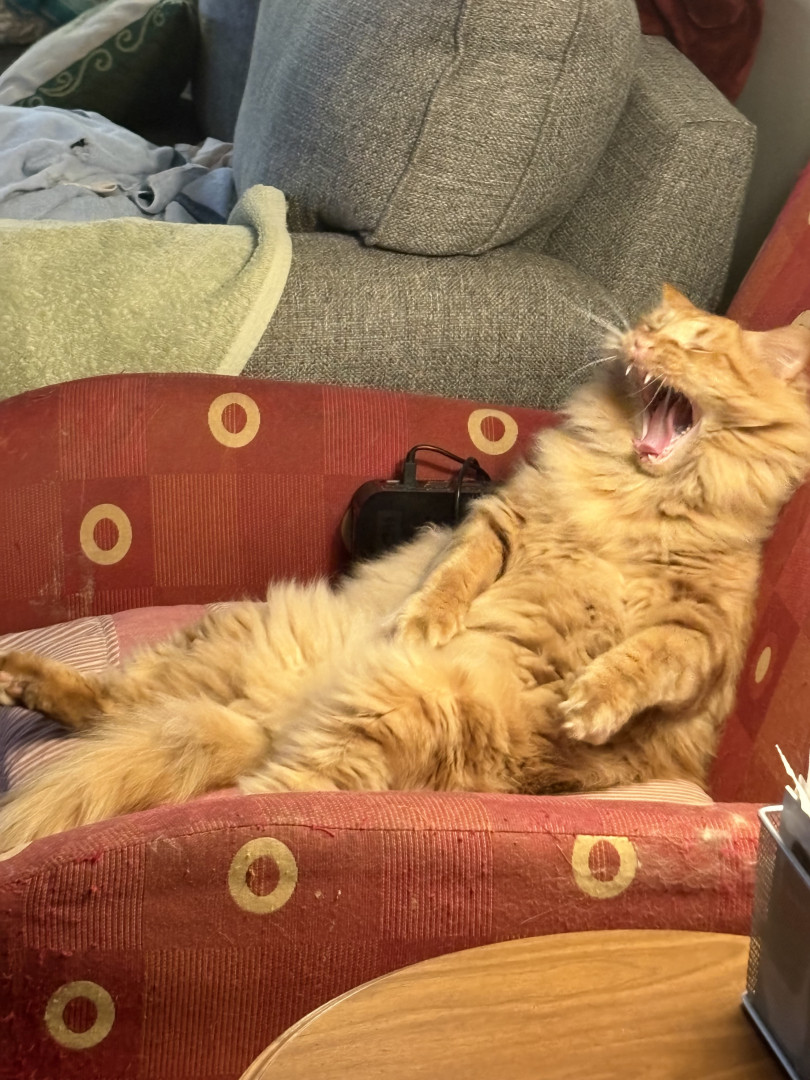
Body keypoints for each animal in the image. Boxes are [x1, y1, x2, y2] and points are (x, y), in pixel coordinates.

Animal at [2, 284, 810, 850]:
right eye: (648, 325)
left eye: (696, 343)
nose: (639, 339)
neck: (632, 496)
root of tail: (275, 715)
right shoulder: (501, 521)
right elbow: (458, 574)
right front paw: (424, 620)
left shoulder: (705, 631)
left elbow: (650, 656)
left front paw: (592, 702)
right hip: (238, 643)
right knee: (119, 708)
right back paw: (22, 679)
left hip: (388, 714)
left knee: (258, 798)